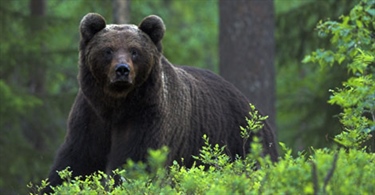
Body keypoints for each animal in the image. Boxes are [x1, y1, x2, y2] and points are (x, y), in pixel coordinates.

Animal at [44, 13, 280, 192]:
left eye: (134, 51)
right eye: (108, 50)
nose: (122, 70)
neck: (116, 106)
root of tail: (255, 109)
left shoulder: (147, 115)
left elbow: (136, 161)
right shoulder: (91, 116)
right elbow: (76, 161)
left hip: (243, 142)